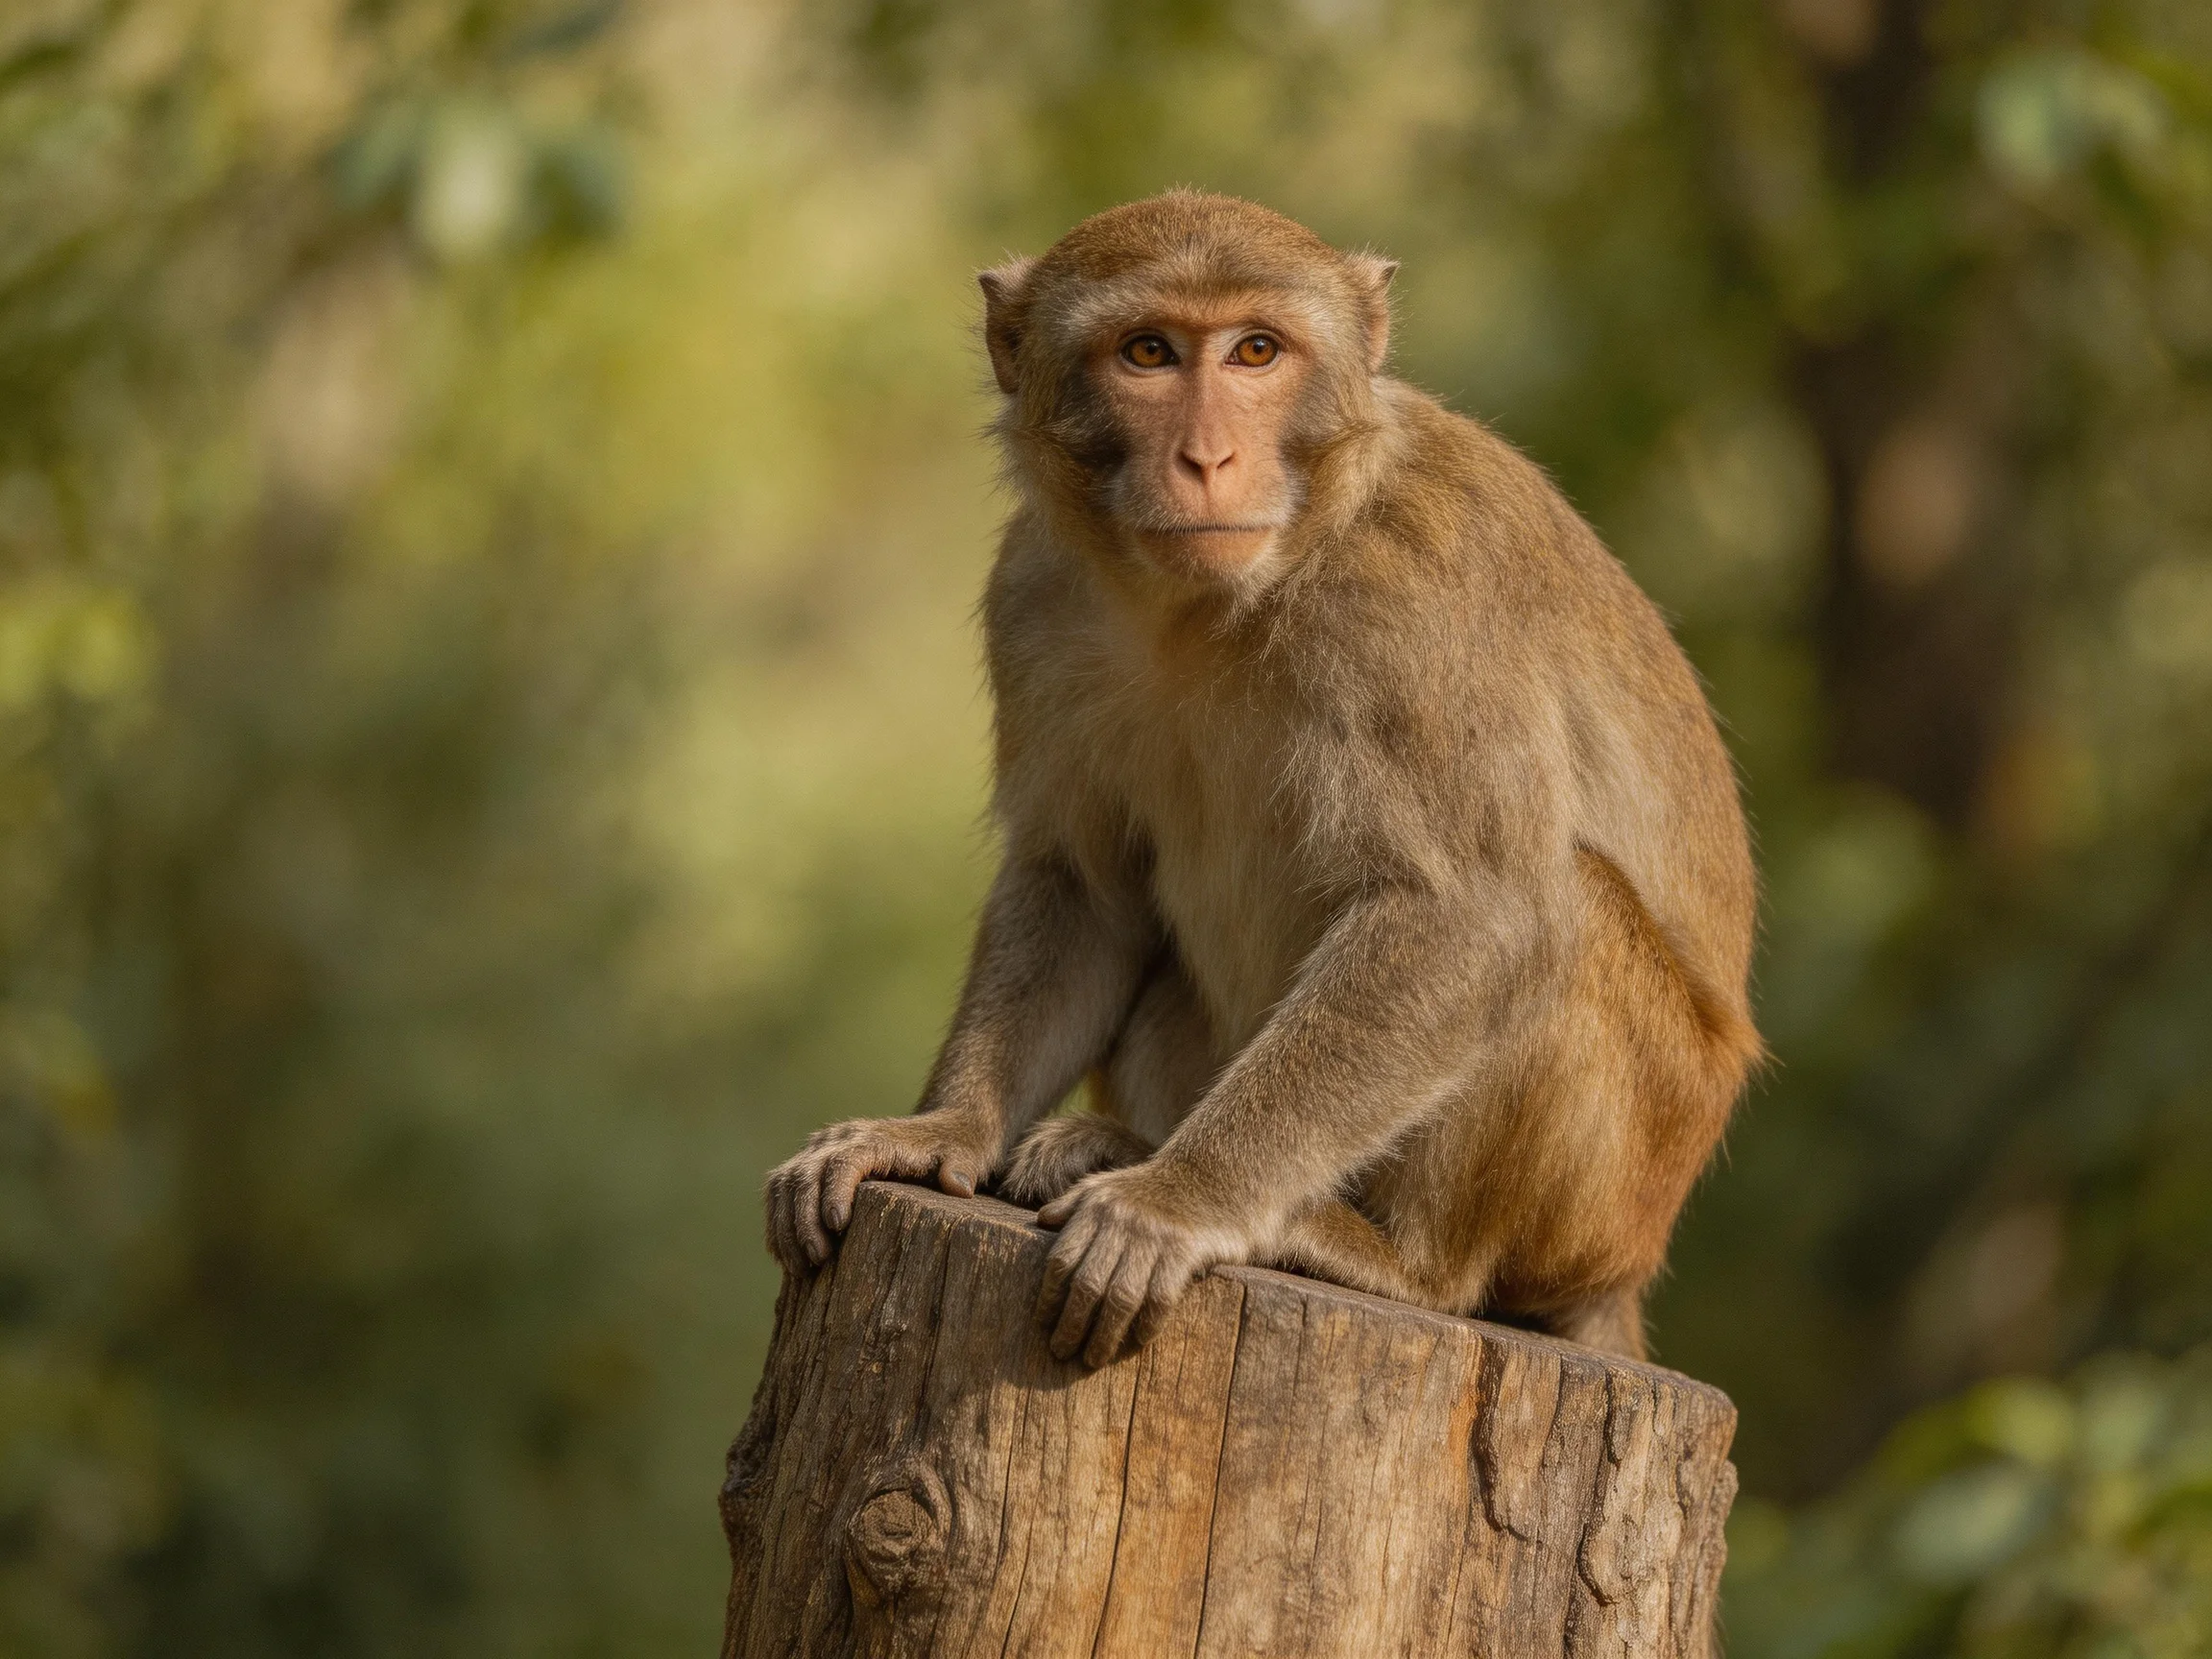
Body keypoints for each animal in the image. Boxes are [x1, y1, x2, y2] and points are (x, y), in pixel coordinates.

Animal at [764, 190, 1761, 1372]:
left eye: (1256, 351)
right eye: (1148, 352)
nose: (1206, 457)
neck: (1222, 594)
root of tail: (1626, 1274)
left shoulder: (1421, 595)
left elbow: (1470, 911)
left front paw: (1180, 1200)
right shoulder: (1033, 591)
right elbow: (1082, 882)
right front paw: (936, 1133)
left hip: (1612, 1193)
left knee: (1568, 910)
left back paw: (1391, 1256)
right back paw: (1111, 1141)